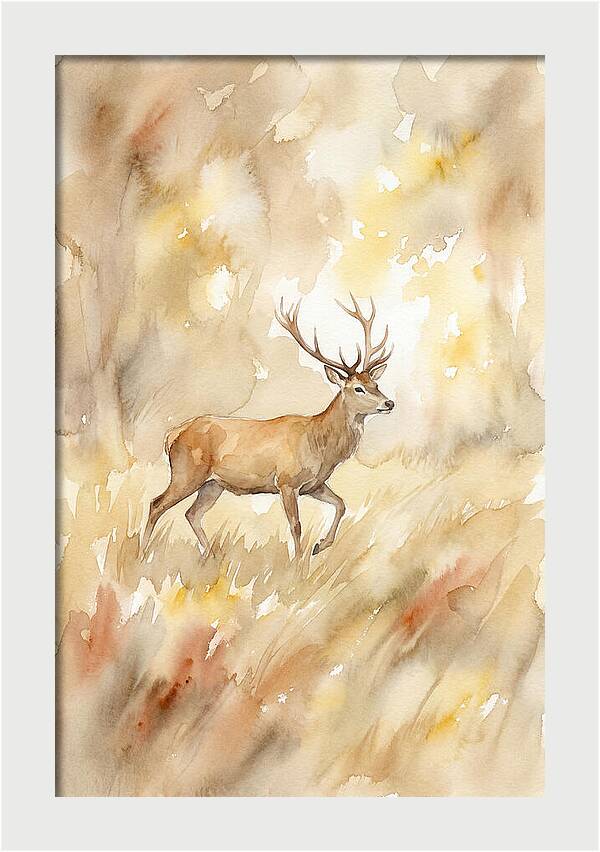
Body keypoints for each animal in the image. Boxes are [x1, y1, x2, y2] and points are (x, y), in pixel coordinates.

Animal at [141, 295, 394, 559]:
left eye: (376, 384)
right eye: (358, 388)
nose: (389, 403)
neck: (321, 446)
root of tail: (172, 434)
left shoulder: (315, 485)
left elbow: (341, 504)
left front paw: (320, 545)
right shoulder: (286, 481)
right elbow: (296, 525)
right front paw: (298, 563)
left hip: (212, 484)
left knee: (192, 513)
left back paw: (210, 554)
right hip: (187, 473)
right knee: (156, 503)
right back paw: (144, 552)